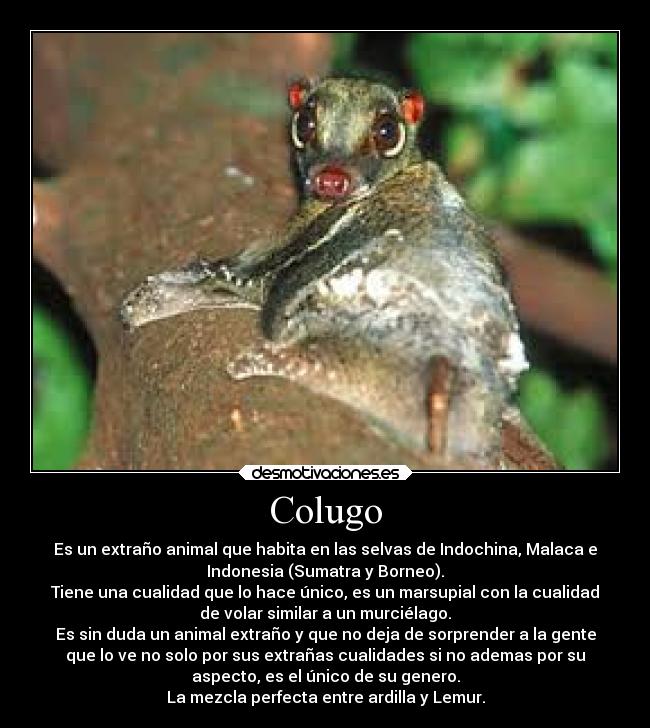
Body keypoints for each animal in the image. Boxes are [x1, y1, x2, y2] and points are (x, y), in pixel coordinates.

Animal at [120, 76, 555, 469]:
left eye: (386, 132)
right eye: (305, 125)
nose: (331, 178)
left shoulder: (294, 250)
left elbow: (244, 280)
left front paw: (161, 296)